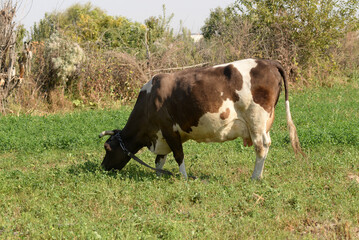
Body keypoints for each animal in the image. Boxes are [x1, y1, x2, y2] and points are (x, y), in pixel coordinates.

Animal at [100, 58, 306, 178]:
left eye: (107, 148)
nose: (102, 167)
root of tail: (269, 63)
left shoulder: (169, 129)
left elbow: (178, 155)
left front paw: (183, 179)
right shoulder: (162, 135)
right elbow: (160, 159)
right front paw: (159, 176)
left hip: (256, 119)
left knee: (261, 146)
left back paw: (255, 177)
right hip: (263, 123)